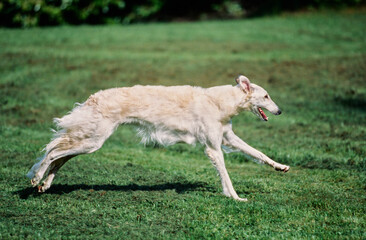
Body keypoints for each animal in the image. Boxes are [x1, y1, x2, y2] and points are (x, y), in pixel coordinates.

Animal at [26, 74, 288, 201]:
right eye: (266, 96)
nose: (279, 111)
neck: (221, 101)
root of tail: (93, 97)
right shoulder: (213, 148)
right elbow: (226, 175)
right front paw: (235, 197)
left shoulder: (227, 138)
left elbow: (258, 153)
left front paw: (280, 166)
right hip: (93, 139)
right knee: (53, 152)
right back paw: (37, 177)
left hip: (89, 140)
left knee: (59, 157)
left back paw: (45, 183)